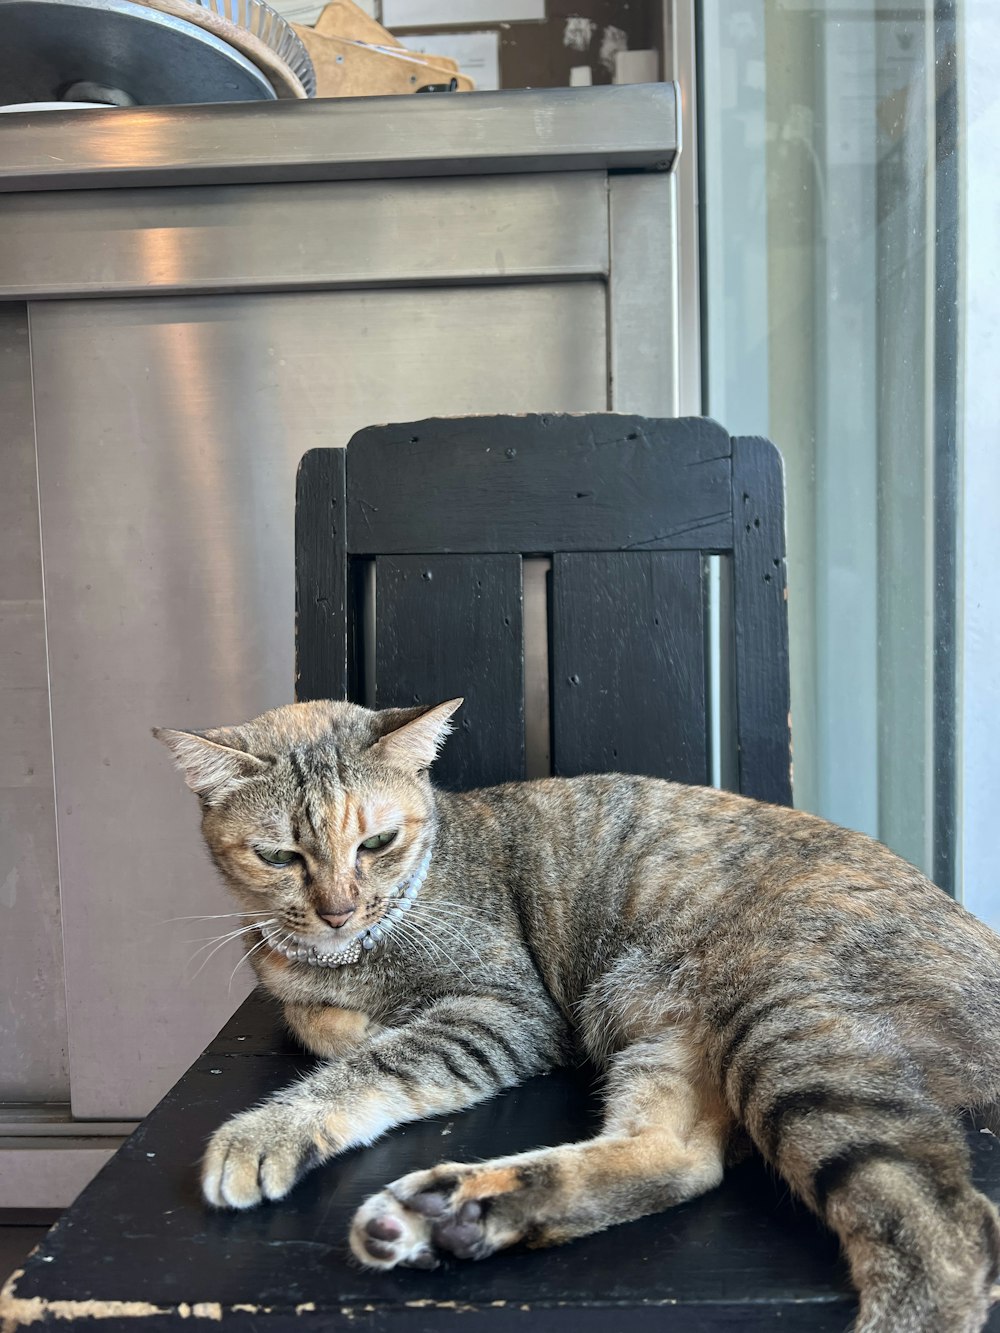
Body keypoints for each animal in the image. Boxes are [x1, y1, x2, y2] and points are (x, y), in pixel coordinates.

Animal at [156, 698, 1000, 1333]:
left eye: (378, 841)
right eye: (279, 856)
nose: (336, 910)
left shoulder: (506, 1011)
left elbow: (374, 1060)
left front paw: (268, 1127)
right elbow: (311, 1014)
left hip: (786, 1027)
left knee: (948, 1234)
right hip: (674, 1039)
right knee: (678, 1158)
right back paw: (462, 1209)